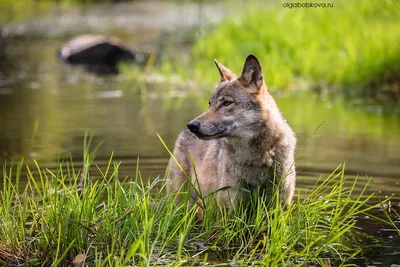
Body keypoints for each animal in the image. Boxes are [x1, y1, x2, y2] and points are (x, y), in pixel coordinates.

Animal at [166, 55, 296, 211]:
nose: (192, 125)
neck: (255, 159)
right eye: (210, 103)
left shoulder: (279, 207)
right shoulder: (229, 207)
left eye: (226, 103)